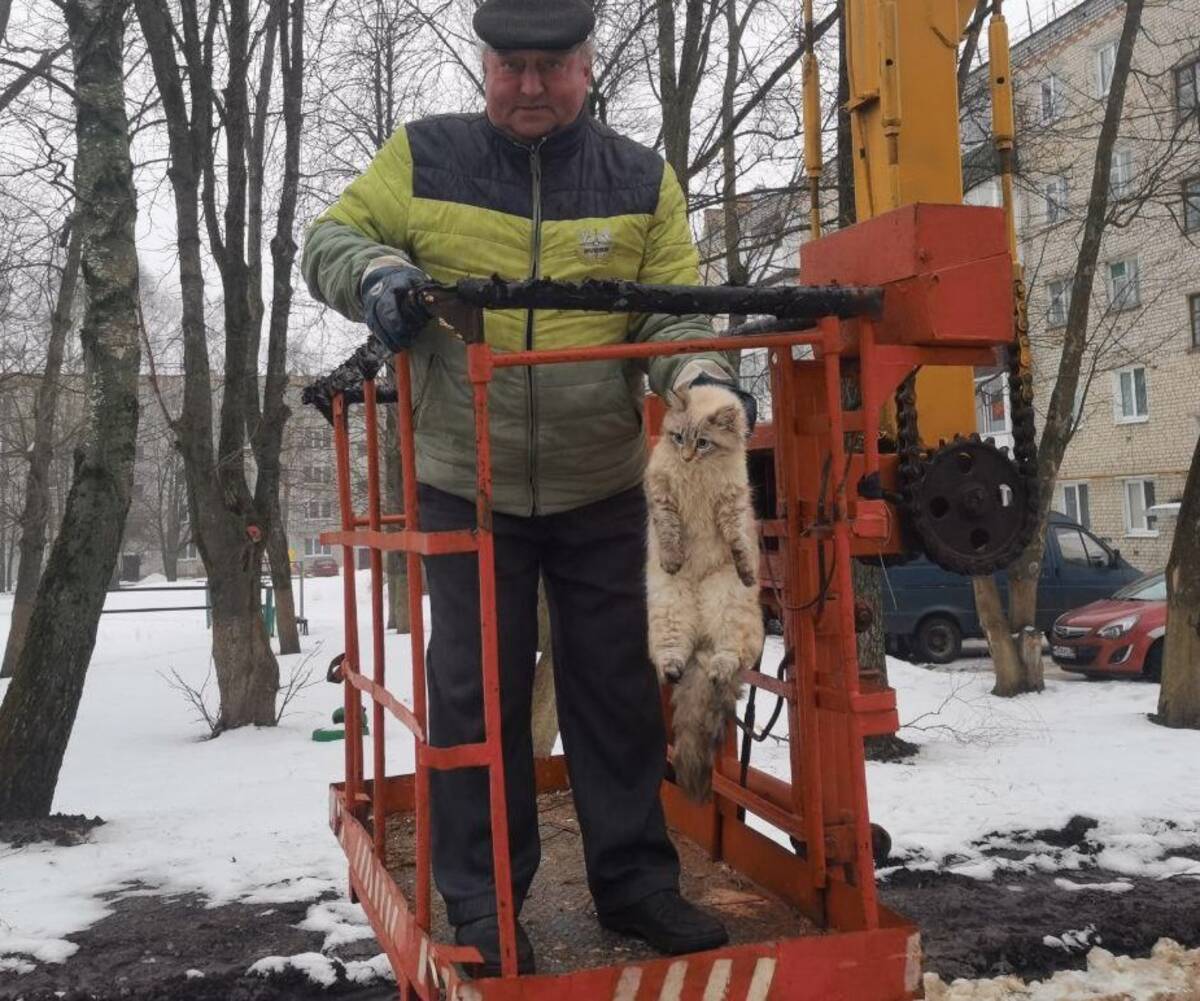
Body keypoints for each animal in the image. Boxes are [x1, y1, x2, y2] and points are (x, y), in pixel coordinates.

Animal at [648, 379, 768, 801]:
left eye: (703, 443)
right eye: (678, 438)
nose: (686, 457)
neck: (696, 477)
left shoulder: (731, 504)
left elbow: (739, 542)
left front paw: (748, 570)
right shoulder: (662, 494)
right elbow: (670, 533)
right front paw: (673, 558)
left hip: (727, 607)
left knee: (730, 655)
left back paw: (715, 669)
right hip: (670, 609)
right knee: (672, 653)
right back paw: (672, 668)